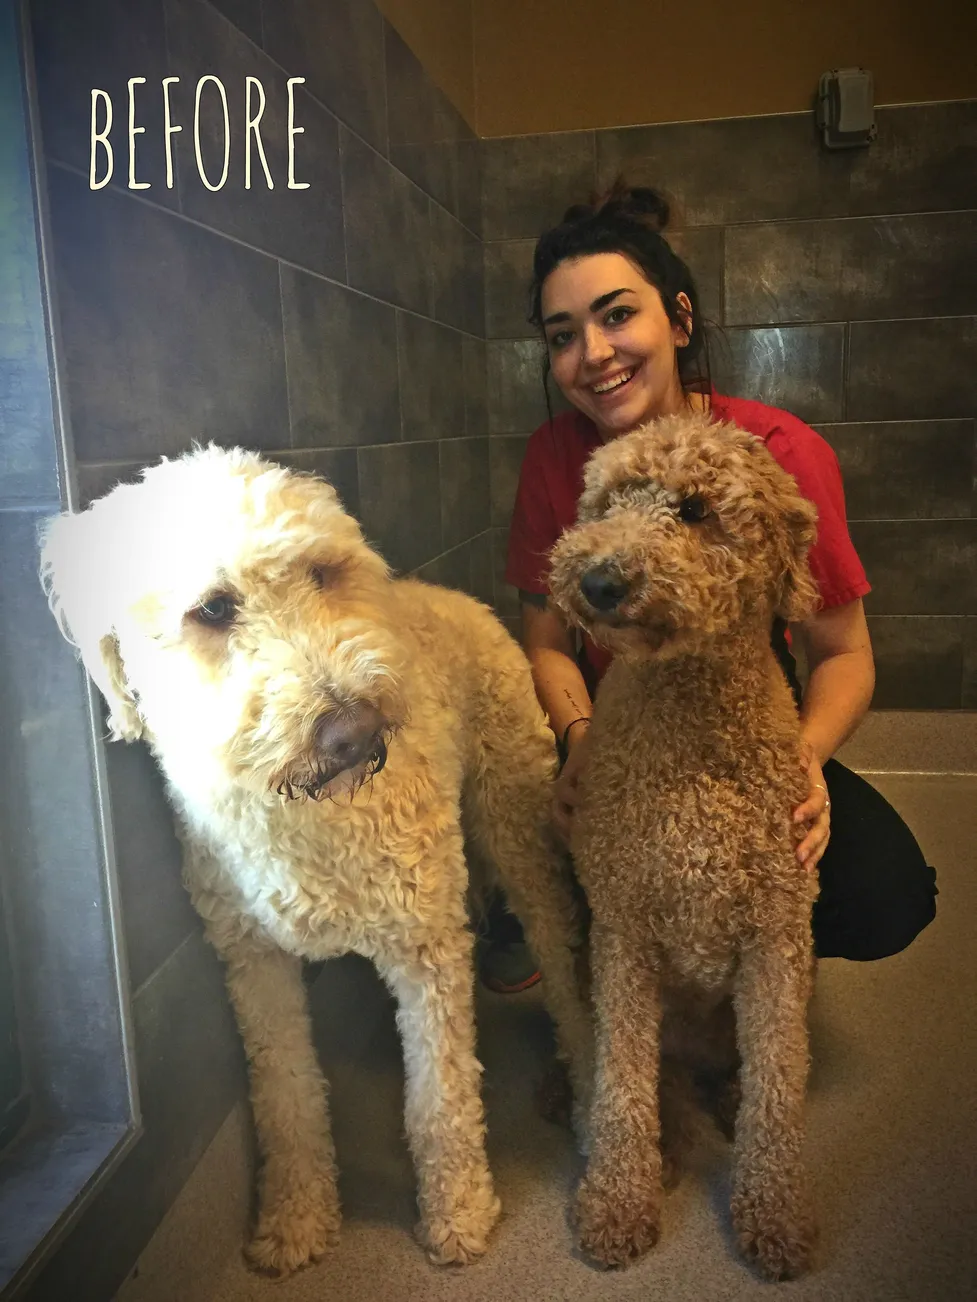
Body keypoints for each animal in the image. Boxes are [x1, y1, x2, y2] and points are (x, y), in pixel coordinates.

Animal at [40, 445, 588, 1270]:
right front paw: (295, 1218)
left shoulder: (424, 946)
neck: (304, 812)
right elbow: (287, 1099)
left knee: (562, 959)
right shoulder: (252, 963)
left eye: (323, 572)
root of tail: (454, 595)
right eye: (213, 609)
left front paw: (458, 1210)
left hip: (518, 825)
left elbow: (440, 1100)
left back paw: (590, 1079)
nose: (352, 730)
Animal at [554, 414, 823, 1281]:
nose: (599, 580)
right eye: (608, 499)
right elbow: (620, 1086)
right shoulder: (624, 932)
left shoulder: (777, 935)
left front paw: (775, 1213)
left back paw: (726, 1097)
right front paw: (616, 1202)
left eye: (697, 511)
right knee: (641, 1076)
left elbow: (778, 1081)